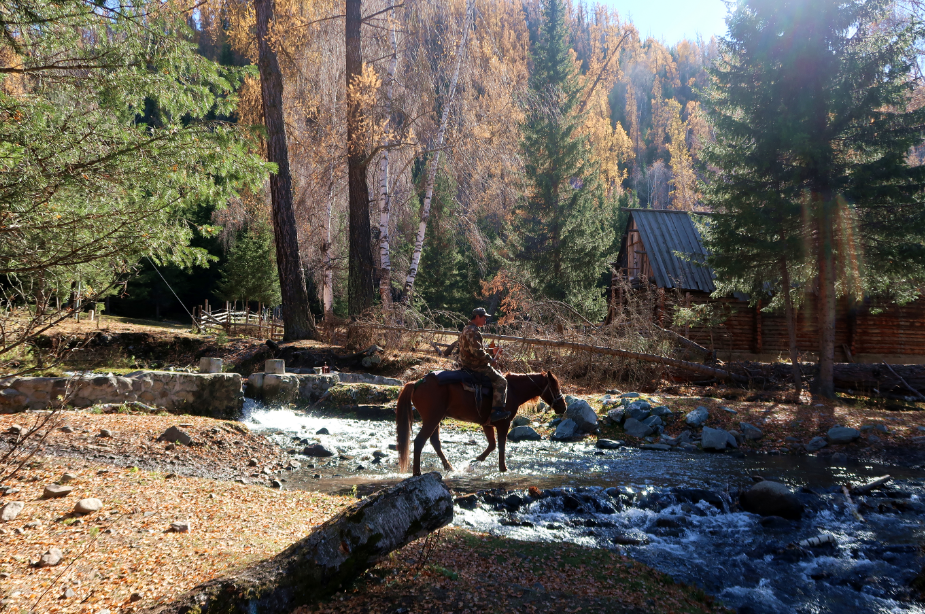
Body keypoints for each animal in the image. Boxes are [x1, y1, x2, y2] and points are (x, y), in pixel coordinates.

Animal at [394, 370, 568, 476]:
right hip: (432, 419)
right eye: (555, 386)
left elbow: (492, 445)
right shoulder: (503, 424)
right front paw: (503, 468)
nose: (563, 406)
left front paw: (474, 460)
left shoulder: (487, 424)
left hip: (436, 419)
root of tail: (416, 383)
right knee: (419, 441)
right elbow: (501, 446)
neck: (512, 390)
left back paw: (449, 467)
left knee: (434, 442)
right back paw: (417, 473)